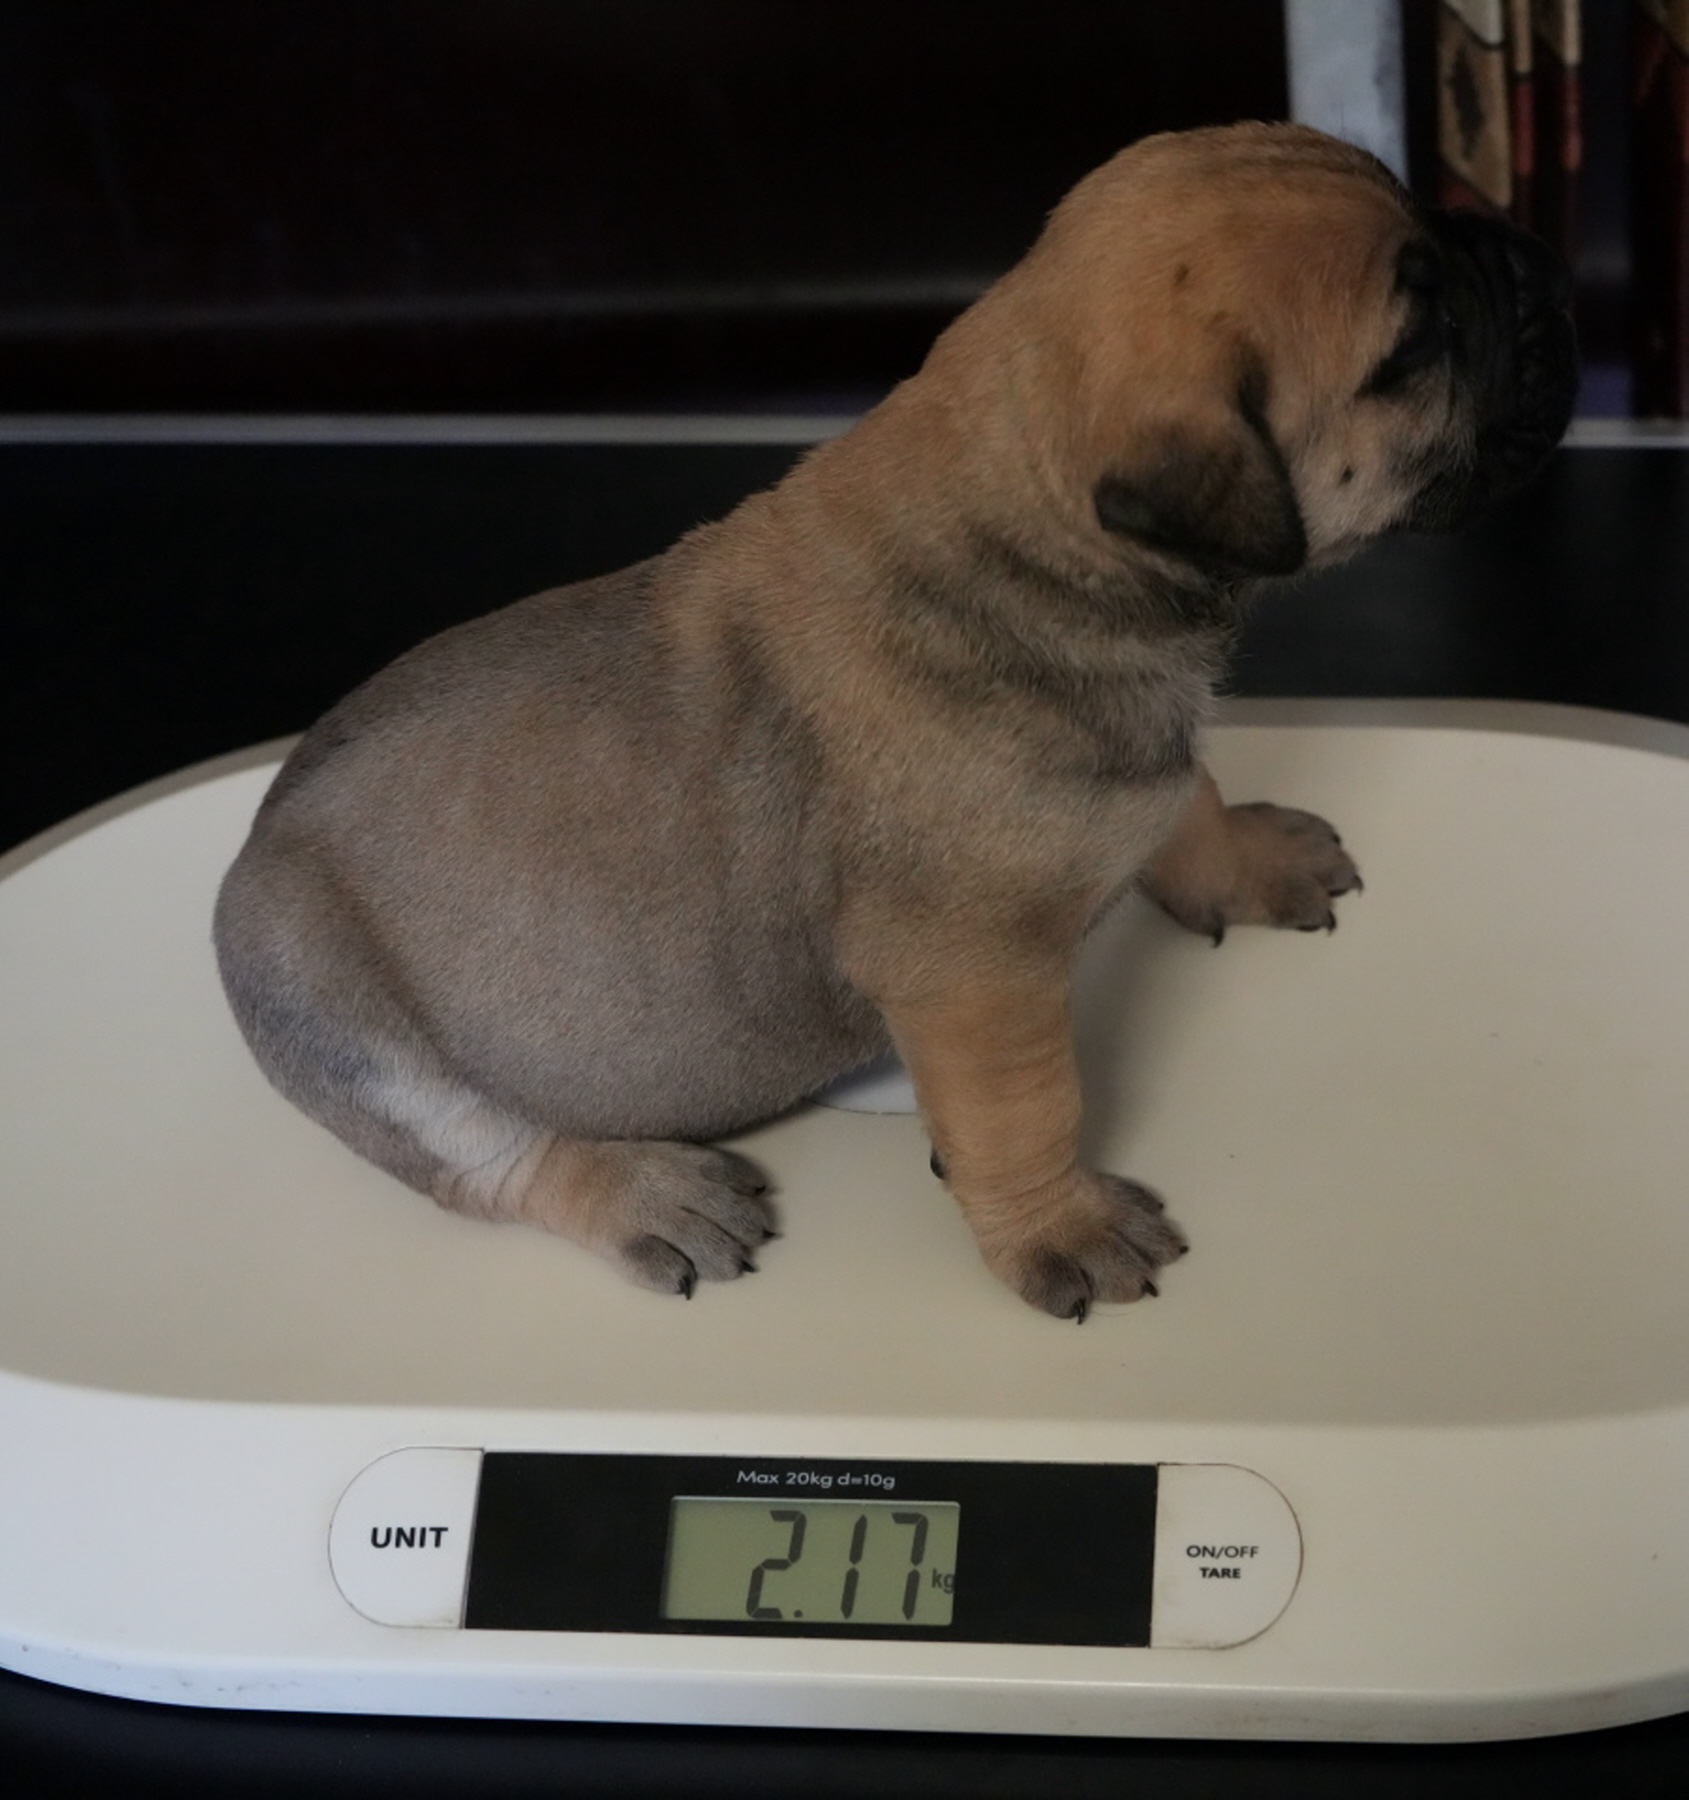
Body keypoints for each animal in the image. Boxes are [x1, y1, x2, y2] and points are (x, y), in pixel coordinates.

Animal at [214, 123, 1577, 1319]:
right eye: (1417, 342)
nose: (1528, 255)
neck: (1023, 516)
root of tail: (250, 854)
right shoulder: (975, 982)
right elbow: (1026, 1111)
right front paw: (1060, 1228)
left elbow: (1181, 789)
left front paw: (1240, 855)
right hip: (356, 1034)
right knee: (495, 1162)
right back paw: (644, 1191)